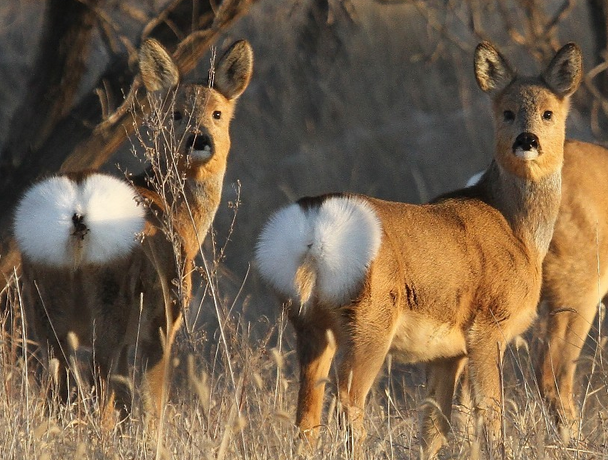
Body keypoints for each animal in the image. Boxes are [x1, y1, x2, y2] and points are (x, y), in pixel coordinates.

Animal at [13, 39, 253, 418]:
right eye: (176, 113)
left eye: (217, 113)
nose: (198, 139)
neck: (179, 216)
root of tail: (76, 211)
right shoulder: (163, 317)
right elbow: (150, 398)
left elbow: (125, 396)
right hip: (111, 294)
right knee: (98, 377)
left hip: (43, 299)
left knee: (57, 383)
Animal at [254, 41, 580, 458]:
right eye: (507, 112)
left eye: (548, 113)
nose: (527, 140)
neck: (516, 229)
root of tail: (313, 222)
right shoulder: (488, 325)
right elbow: (490, 415)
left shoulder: (447, 353)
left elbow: (434, 428)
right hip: (370, 319)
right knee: (348, 402)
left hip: (307, 320)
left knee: (306, 414)